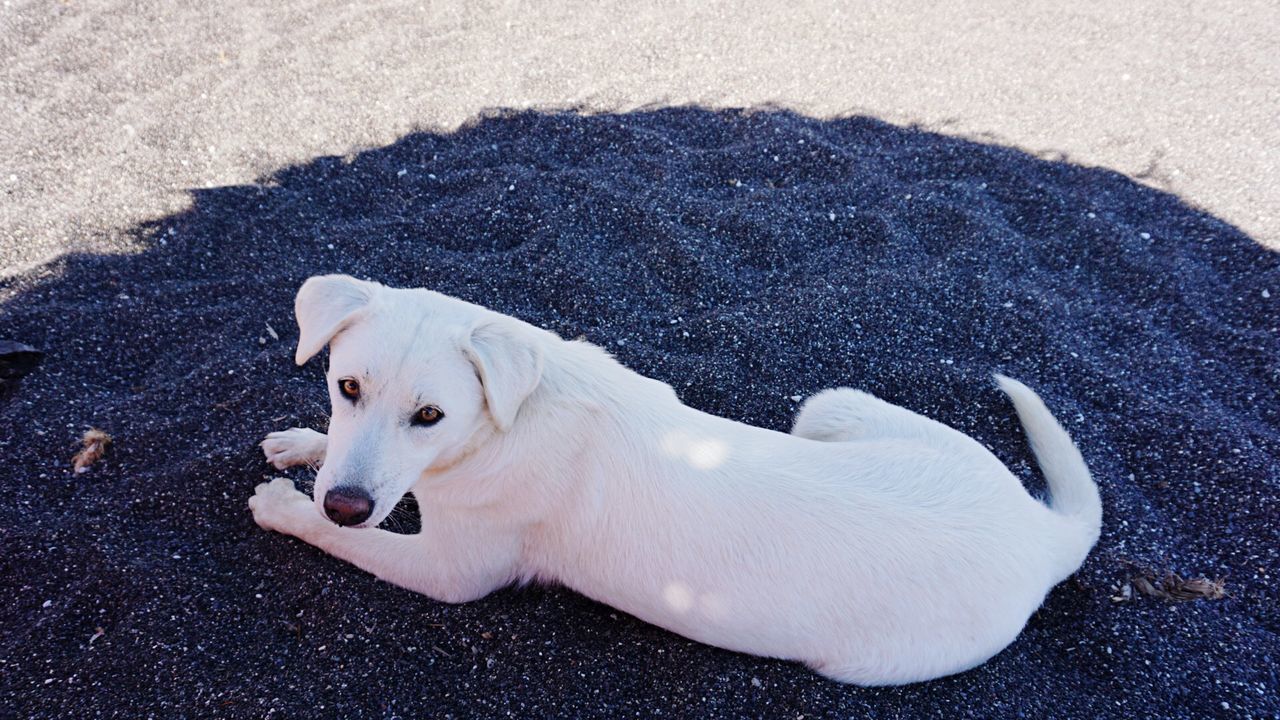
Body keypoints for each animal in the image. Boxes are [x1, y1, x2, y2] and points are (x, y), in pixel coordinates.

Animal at [249, 272, 1100, 681]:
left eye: (430, 416)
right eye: (347, 387)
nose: (349, 502)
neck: (512, 414)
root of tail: (1041, 534)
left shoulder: (449, 573)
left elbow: (346, 540)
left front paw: (287, 509)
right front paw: (302, 445)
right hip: (832, 406)